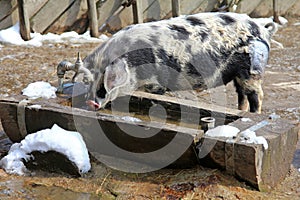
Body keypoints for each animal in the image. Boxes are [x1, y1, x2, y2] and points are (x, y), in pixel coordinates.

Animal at [82, 12, 276, 112]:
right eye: (89, 81)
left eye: (105, 82)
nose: (89, 102)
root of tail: (263, 29)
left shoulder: (155, 82)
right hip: (238, 74)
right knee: (241, 94)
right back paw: (240, 111)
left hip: (251, 70)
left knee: (256, 95)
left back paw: (253, 113)